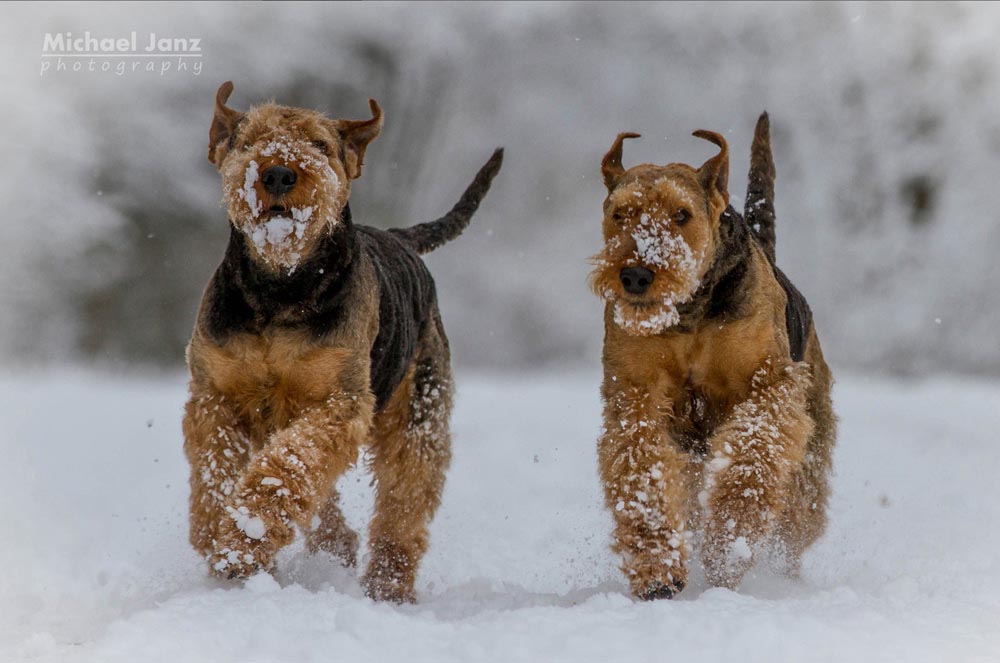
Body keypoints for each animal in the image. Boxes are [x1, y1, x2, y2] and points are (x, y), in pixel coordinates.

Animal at [182, 80, 500, 604]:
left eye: (320, 145)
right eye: (250, 141)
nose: (279, 173)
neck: (281, 290)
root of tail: (402, 237)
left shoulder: (340, 401)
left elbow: (288, 467)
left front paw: (244, 534)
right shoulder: (215, 395)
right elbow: (217, 471)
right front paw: (222, 541)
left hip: (419, 412)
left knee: (404, 499)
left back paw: (388, 583)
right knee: (325, 502)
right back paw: (338, 548)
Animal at [592, 116, 836, 600]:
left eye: (681, 214)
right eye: (620, 213)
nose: (636, 275)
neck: (691, 314)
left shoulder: (769, 385)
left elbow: (752, 460)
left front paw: (728, 546)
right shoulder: (636, 395)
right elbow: (641, 471)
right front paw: (658, 571)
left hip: (810, 450)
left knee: (796, 522)